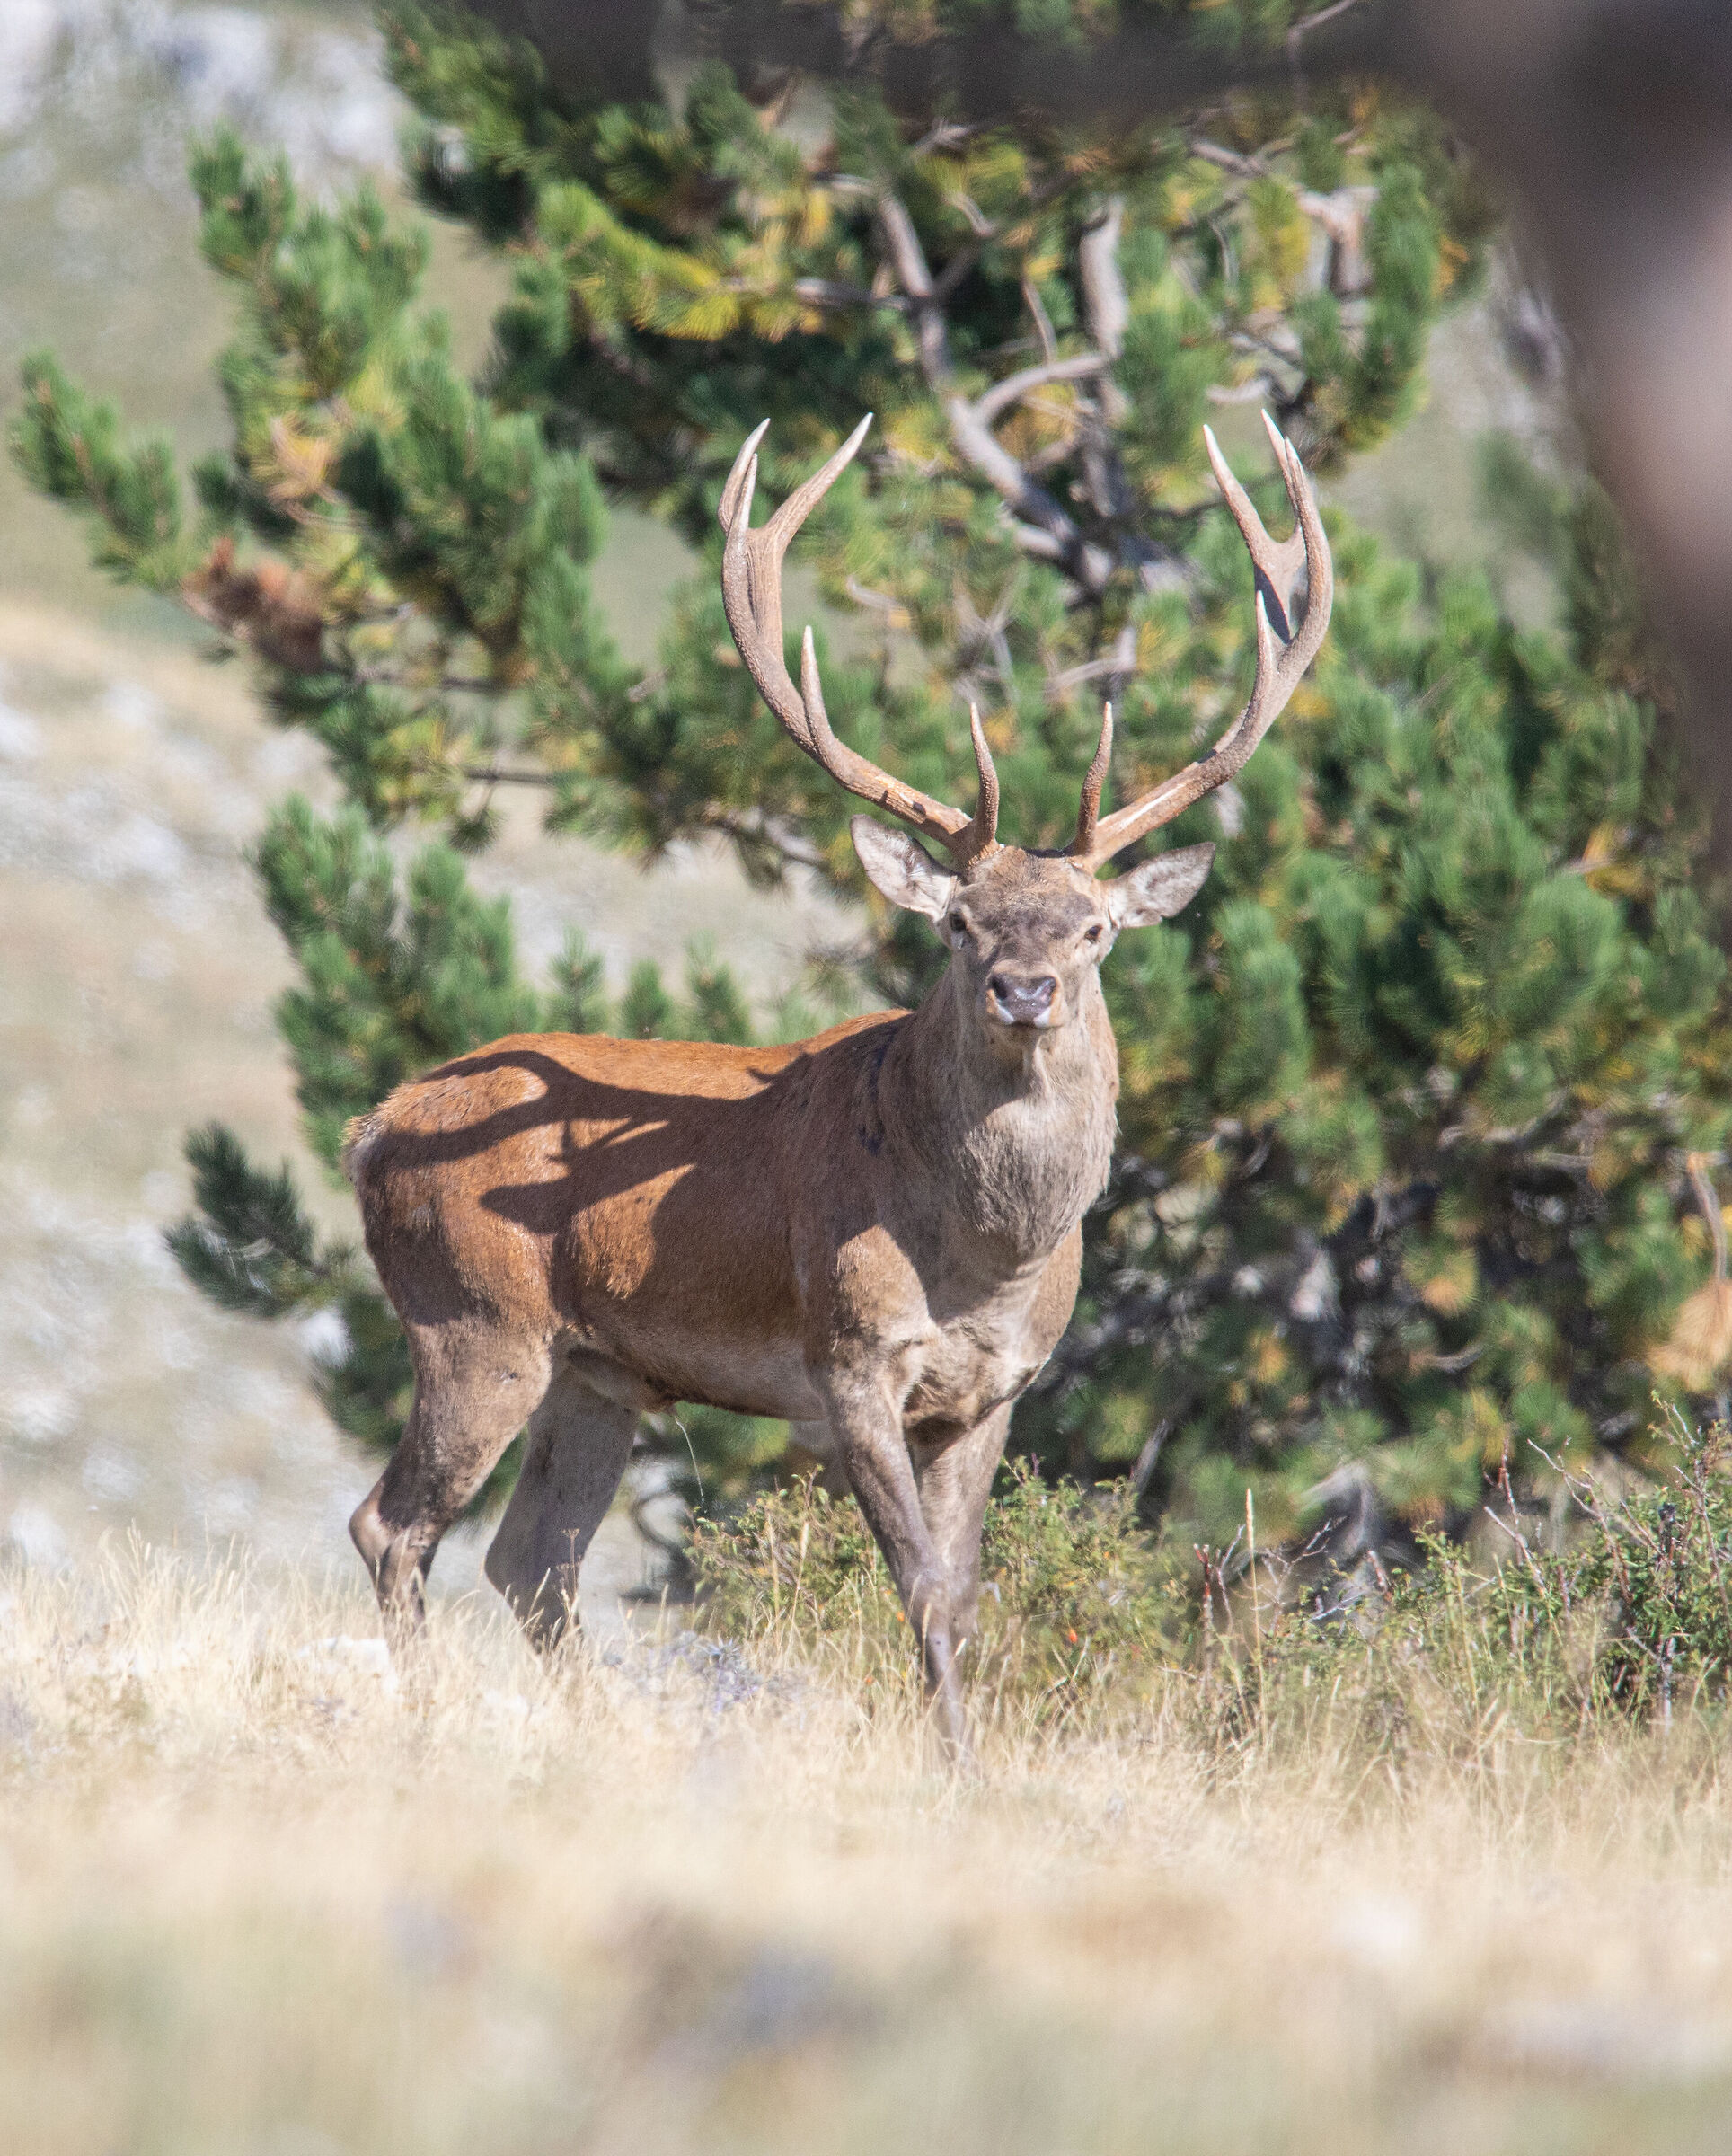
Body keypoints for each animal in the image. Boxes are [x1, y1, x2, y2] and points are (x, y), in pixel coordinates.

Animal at [341, 411, 1331, 1750]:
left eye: (1093, 928)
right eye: (960, 921)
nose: (1025, 988)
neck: (988, 1256)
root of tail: (373, 1129)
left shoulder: (999, 1388)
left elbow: (963, 1587)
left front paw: (966, 1756)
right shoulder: (851, 1358)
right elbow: (914, 1582)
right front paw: (952, 1762)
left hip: (596, 1371)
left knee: (530, 1561)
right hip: (471, 1319)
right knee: (395, 1526)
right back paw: (425, 1713)